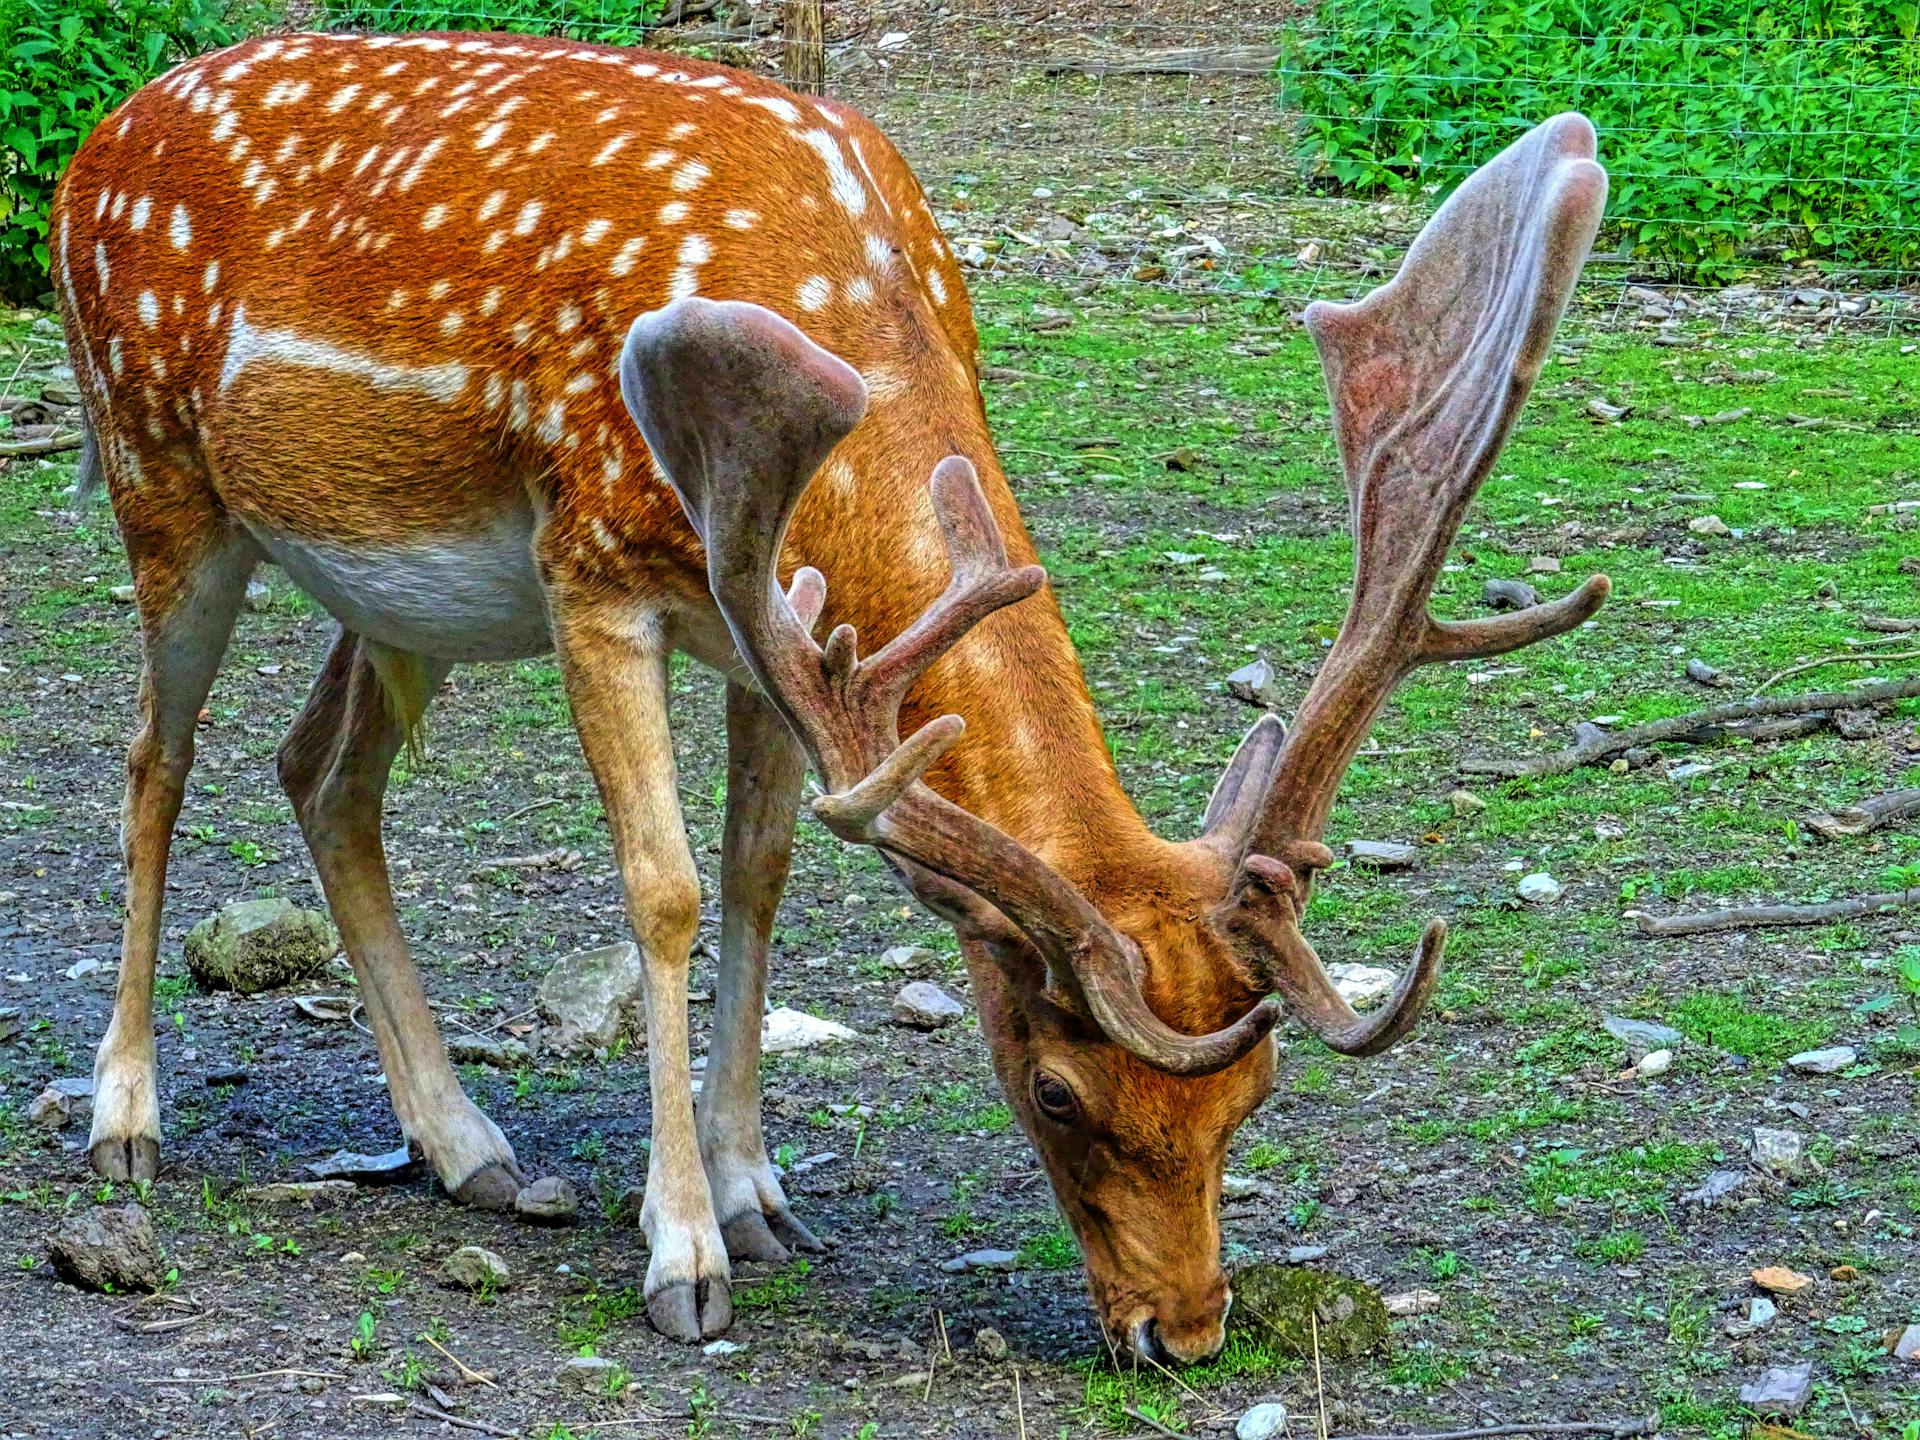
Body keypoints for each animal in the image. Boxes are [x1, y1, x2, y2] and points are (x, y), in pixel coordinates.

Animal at [48, 33, 1605, 1367]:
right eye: (1055, 1089)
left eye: (1254, 1099)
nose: (1185, 1331)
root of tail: (95, 139)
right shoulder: (591, 567)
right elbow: (665, 888)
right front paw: (682, 1252)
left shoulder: (772, 638)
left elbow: (761, 871)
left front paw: (756, 1195)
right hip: (156, 471)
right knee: (153, 761)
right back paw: (126, 1120)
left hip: (390, 597)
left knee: (319, 772)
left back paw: (464, 1143)